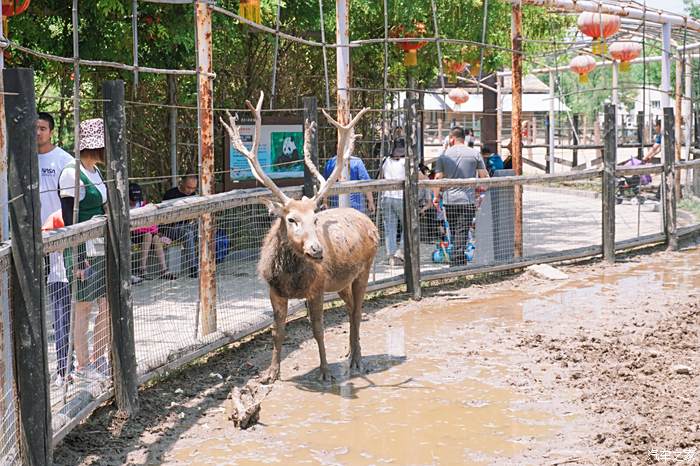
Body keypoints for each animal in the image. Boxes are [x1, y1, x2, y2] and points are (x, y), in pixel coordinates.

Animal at [221, 93, 380, 384]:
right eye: (291, 219)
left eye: (315, 219)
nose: (317, 250)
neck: (289, 277)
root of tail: (369, 221)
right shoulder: (273, 290)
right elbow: (277, 331)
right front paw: (271, 373)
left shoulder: (317, 288)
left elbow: (318, 329)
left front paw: (325, 371)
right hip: (341, 281)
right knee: (351, 308)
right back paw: (349, 351)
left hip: (365, 268)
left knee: (358, 311)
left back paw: (357, 360)